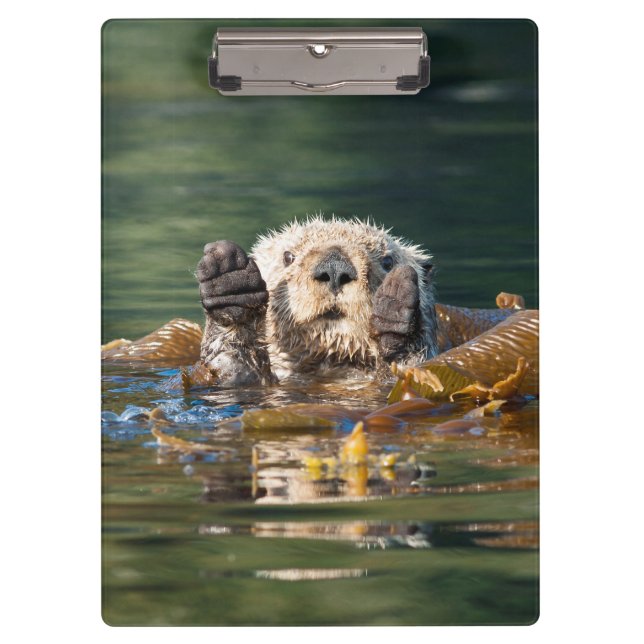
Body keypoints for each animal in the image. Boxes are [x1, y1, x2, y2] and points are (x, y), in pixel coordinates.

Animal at [196, 217, 438, 385]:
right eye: (288, 257)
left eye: (388, 261)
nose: (334, 268)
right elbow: (232, 367)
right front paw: (230, 283)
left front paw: (395, 312)